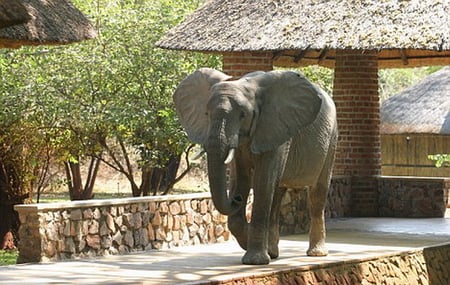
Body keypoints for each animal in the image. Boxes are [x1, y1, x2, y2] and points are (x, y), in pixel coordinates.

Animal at [174, 67, 336, 262]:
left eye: (243, 115)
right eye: (206, 114)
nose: (236, 198)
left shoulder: (275, 127)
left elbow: (262, 181)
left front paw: (254, 260)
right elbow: (241, 176)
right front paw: (247, 242)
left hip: (331, 138)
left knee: (316, 195)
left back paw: (316, 253)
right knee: (277, 194)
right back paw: (273, 252)